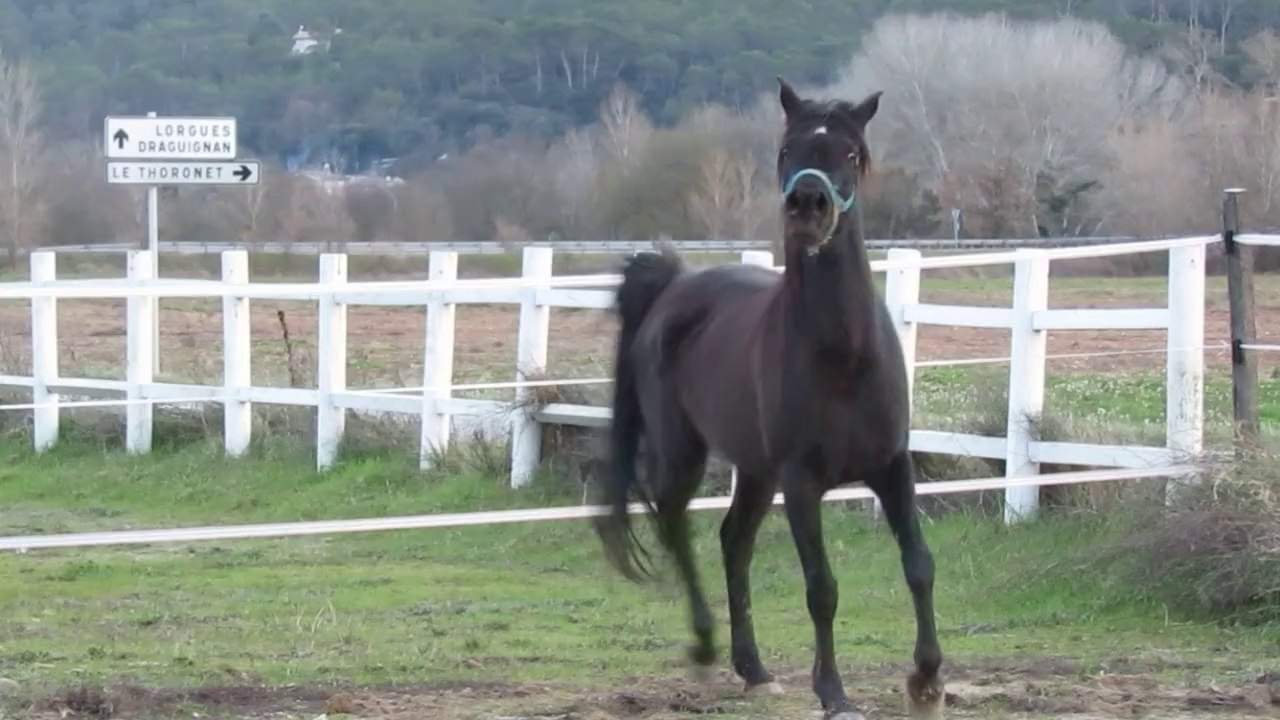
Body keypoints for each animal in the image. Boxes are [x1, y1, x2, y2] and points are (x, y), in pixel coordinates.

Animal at [591, 78, 945, 720]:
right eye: (787, 151)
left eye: (851, 154)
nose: (808, 205)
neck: (842, 357)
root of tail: (674, 287)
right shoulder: (801, 482)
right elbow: (821, 588)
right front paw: (833, 692)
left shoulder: (892, 466)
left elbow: (919, 565)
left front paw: (927, 679)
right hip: (685, 453)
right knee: (675, 525)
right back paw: (706, 647)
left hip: (754, 471)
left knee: (734, 542)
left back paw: (752, 668)